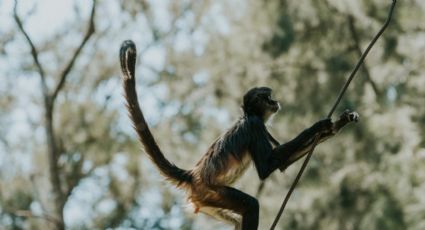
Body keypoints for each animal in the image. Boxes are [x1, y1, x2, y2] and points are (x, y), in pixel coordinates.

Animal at [118, 40, 358, 229]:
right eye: (266, 97)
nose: (275, 101)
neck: (249, 114)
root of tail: (193, 175)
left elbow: (280, 165)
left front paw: (338, 124)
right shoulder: (255, 126)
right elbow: (267, 168)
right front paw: (319, 125)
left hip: (208, 202)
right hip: (212, 192)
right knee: (251, 205)